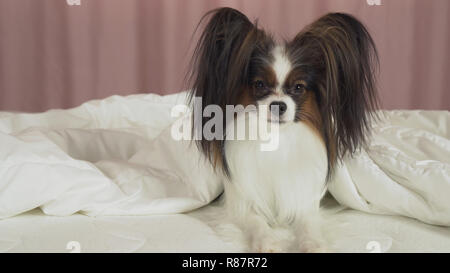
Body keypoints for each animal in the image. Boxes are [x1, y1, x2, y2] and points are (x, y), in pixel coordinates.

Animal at [186, 7, 380, 252]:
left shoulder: (304, 199)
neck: (276, 138)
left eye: (298, 87)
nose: (279, 105)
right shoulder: (241, 202)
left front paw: (313, 245)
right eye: (259, 84)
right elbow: (256, 222)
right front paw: (267, 242)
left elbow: (307, 224)